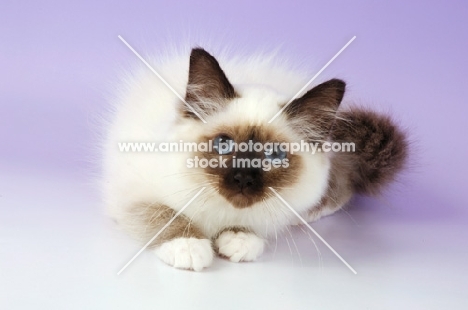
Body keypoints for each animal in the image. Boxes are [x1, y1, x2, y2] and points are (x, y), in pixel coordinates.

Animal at [101, 46, 406, 272]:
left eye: (274, 156)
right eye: (223, 145)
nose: (243, 179)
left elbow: (255, 224)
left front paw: (239, 239)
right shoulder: (132, 196)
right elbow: (164, 214)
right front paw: (188, 246)